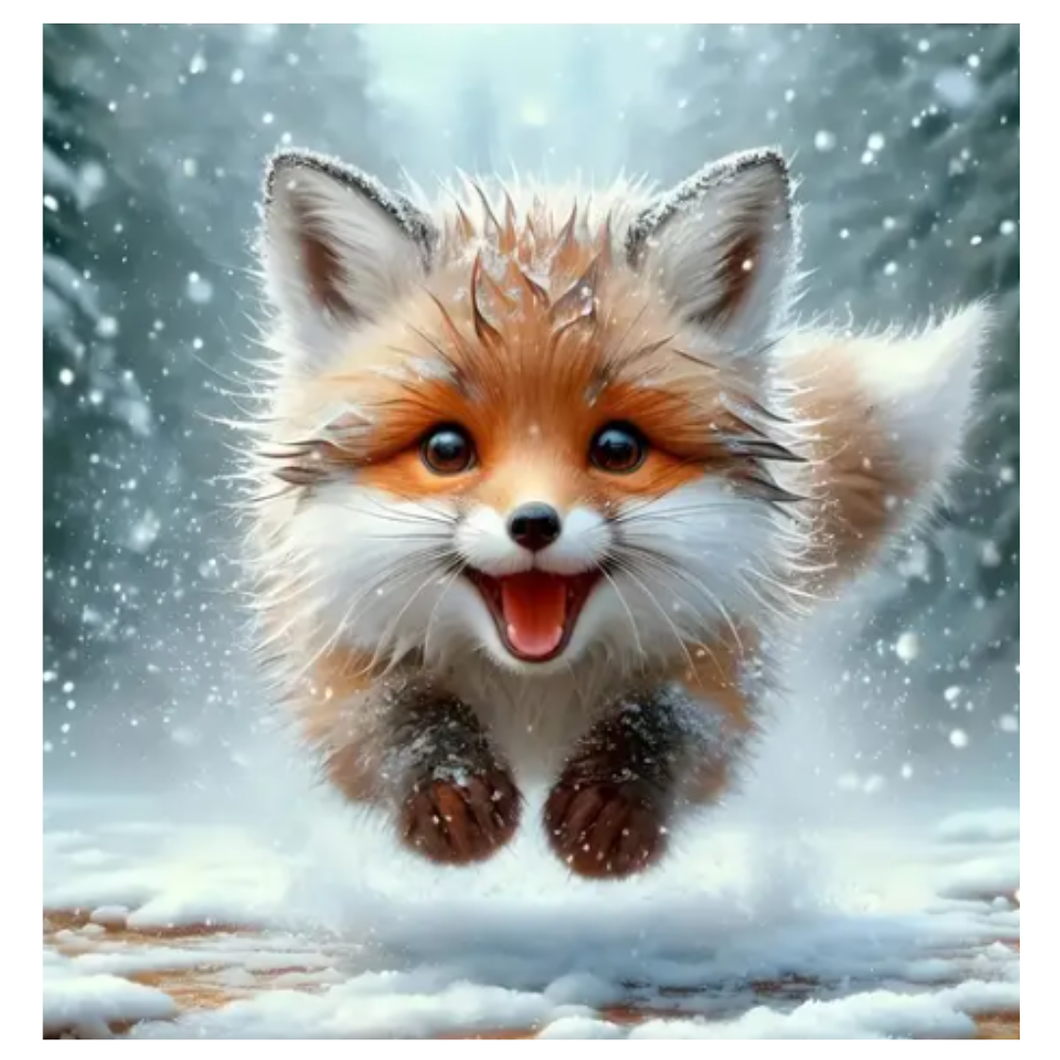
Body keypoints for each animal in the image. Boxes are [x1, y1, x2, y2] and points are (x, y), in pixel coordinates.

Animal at [242, 145, 991, 880]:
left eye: (617, 449)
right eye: (447, 450)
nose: (534, 523)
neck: (533, 698)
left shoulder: (722, 653)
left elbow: (668, 720)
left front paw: (613, 805)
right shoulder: (332, 655)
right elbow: (395, 717)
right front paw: (450, 790)